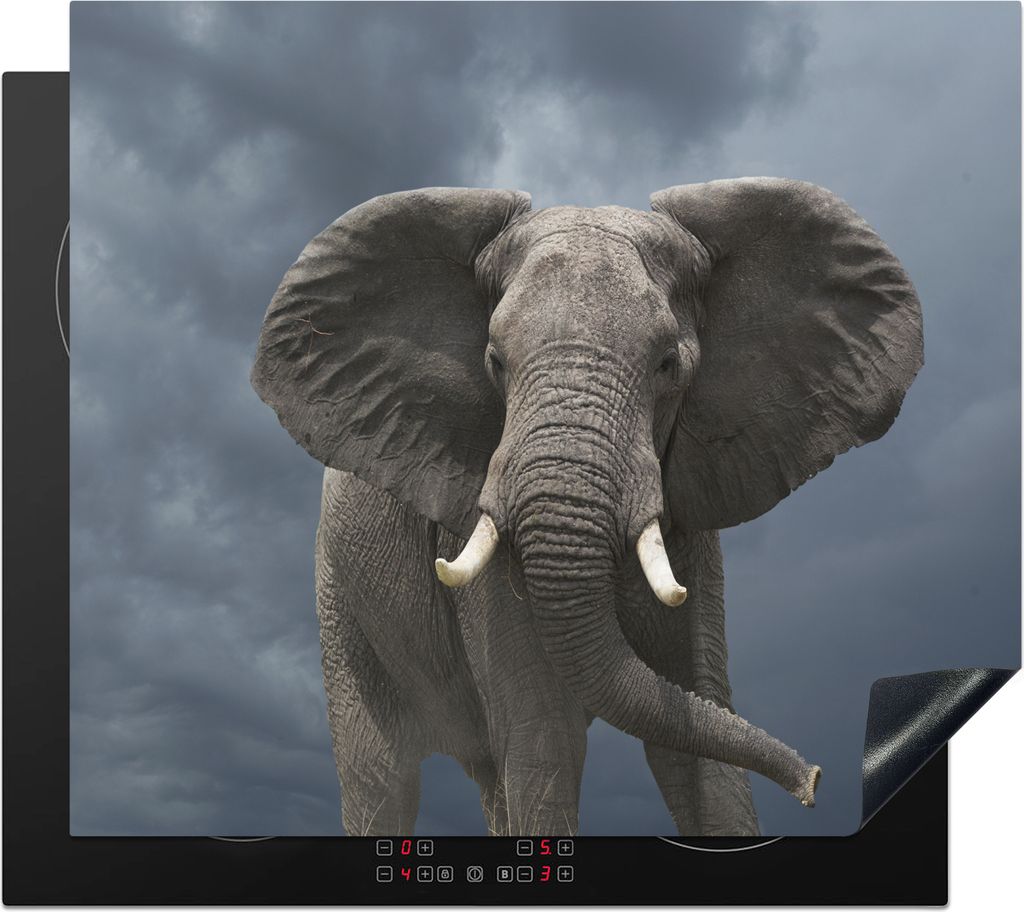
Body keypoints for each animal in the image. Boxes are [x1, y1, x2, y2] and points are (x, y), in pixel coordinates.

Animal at [251, 180, 923, 837]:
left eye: (668, 365)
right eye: (495, 361)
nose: (815, 781)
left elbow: (698, 735)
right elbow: (546, 740)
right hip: (337, 596)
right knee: (382, 779)